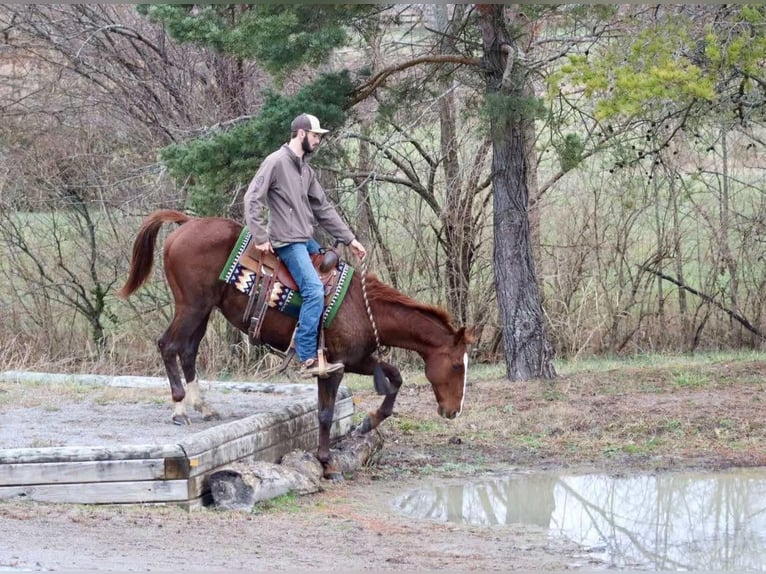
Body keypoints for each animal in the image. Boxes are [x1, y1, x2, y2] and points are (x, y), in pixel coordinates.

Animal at [118, 209, 476, 480]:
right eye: (456, 365)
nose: (453, 411)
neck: (361, 307)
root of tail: (187, 222)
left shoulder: (355, 359)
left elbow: (395, 378)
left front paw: (368, 423)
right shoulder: (332, 367)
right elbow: (325, 413)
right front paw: (327, 462)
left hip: (203, 310)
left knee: (188, 351)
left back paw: (203, 406)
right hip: (191, 306)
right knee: (168, 345)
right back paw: (180, 408)